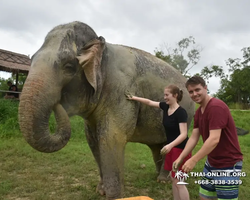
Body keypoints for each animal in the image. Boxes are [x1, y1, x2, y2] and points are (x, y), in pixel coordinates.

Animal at [19, 21, 195, 199]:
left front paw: (114, 196)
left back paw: (164, 180)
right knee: (157, 145)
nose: (57, 102)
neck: (101, 47)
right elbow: (92, 139)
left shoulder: (120, 89)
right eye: (32, 59)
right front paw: (100, 191)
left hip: (186, 114)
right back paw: (158, 177)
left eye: (68, 66)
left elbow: (111, 137)